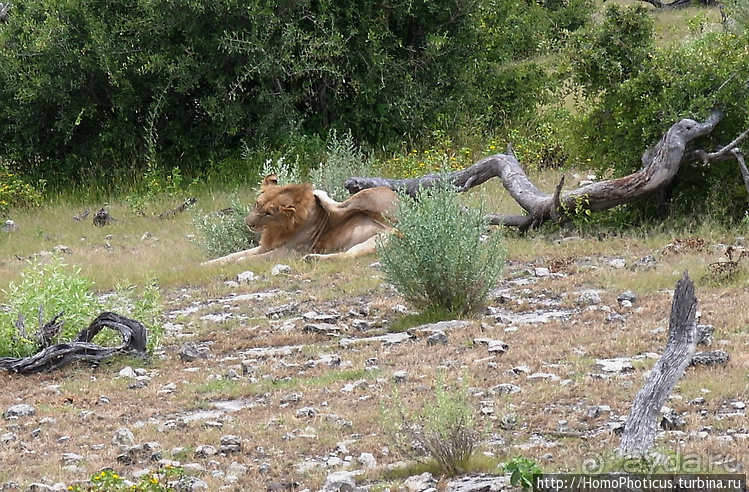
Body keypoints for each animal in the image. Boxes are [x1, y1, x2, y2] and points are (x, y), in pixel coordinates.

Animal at [199, 174, 398, 266]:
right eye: (257, 203)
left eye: (268, 213)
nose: (248, 223)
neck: (276, 229)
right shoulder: (264, 246)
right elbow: (231, 255)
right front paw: (206, 264)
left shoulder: (290, 251)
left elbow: (250, 258)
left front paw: (240, 262)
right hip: (377, 241)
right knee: (347, 255)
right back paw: (312, 259)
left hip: (367, 196)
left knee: (338, 208)